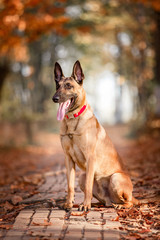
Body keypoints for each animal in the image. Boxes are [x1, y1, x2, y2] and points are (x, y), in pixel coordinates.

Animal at [52, 60, 138, 212]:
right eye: (58, 85)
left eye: (68, 86)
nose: (54, 98)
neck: (72, 119)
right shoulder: (68, 159)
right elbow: (70, 185)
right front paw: (69, 203)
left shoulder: (90, 157)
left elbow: (88, 186)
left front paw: (85, 205)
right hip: (82, 176)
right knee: (104, 200)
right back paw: (99, 204)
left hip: (115, 178)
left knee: (128, 202)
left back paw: (118, 205)